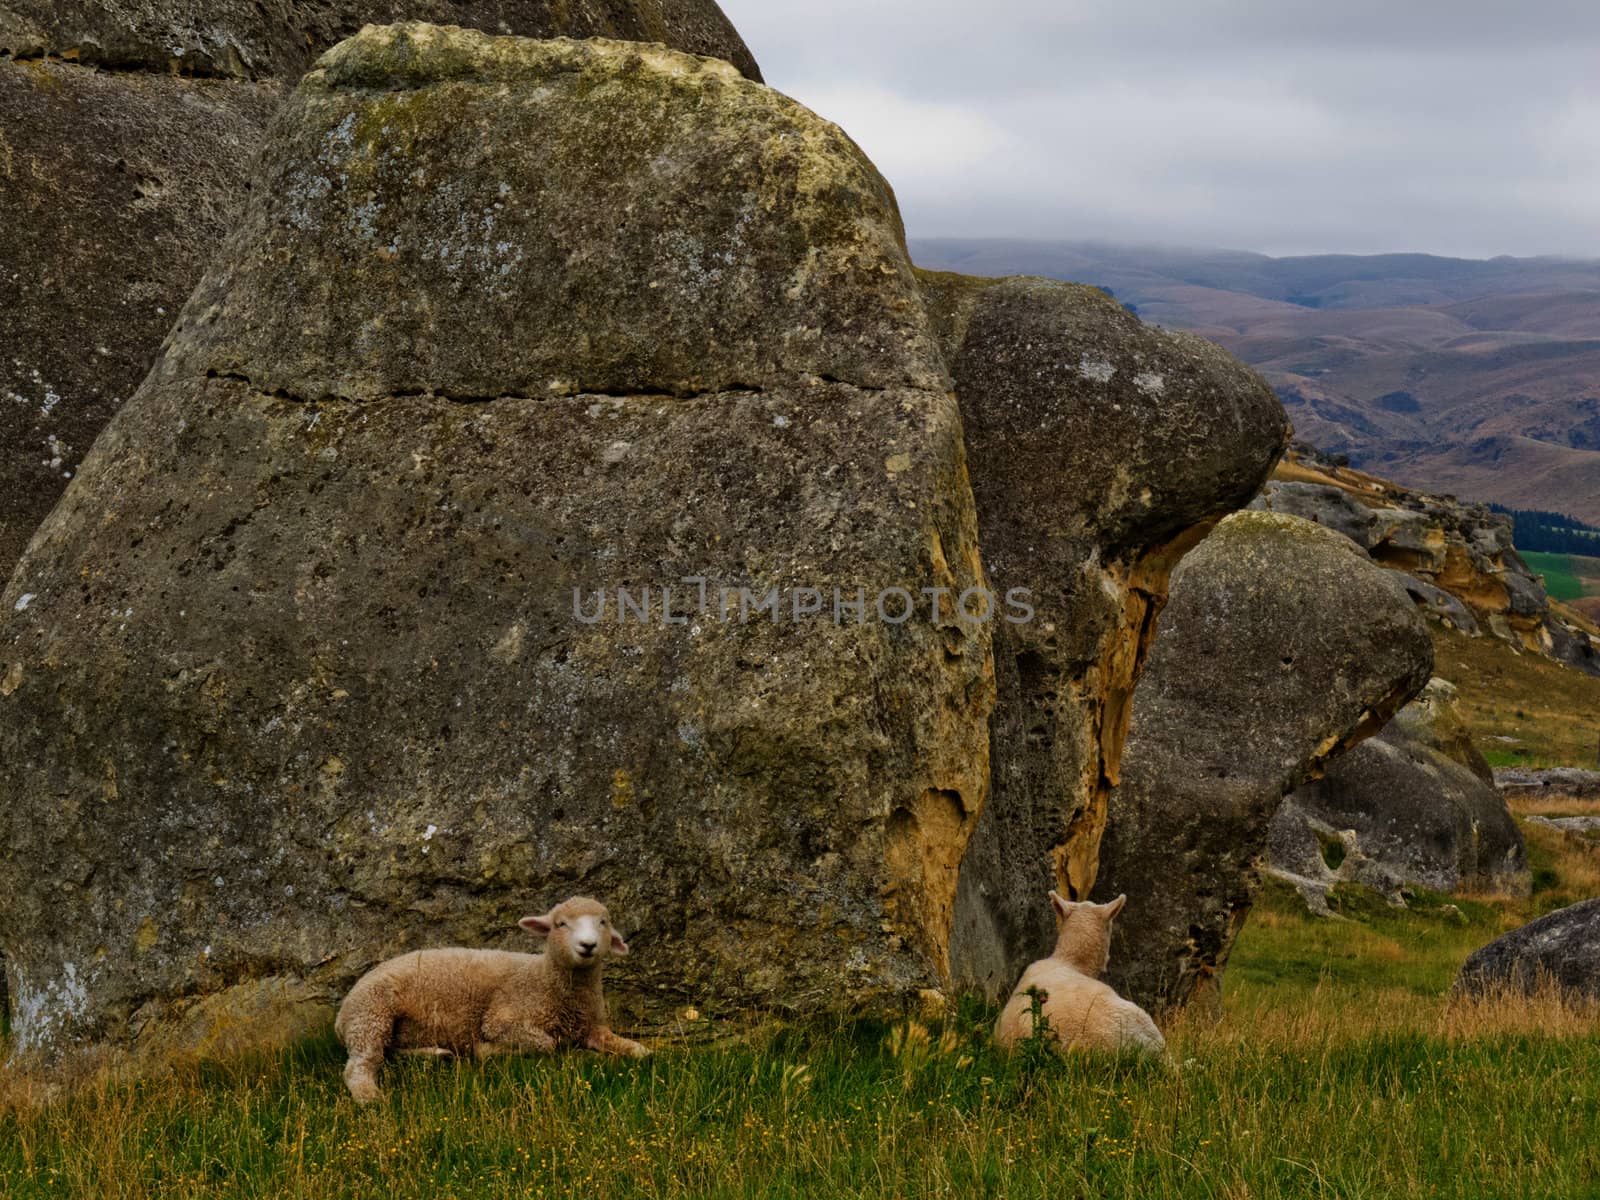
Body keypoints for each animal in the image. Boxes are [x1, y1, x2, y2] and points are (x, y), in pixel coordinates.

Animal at [334, 896, 646, 1107]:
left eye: (603, 922)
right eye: (561, 924)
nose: (587, 945)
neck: (545, 979)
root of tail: (341, 1016)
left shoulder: (592, 1025)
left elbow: (635, 1050)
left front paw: (636, 1049)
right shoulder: (501, 1019)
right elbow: (546, 1044)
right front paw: (487, 1050)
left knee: (391, 1052)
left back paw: (435, 1054)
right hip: (371, 1014)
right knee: (360, 1064)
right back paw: (370, 1097)